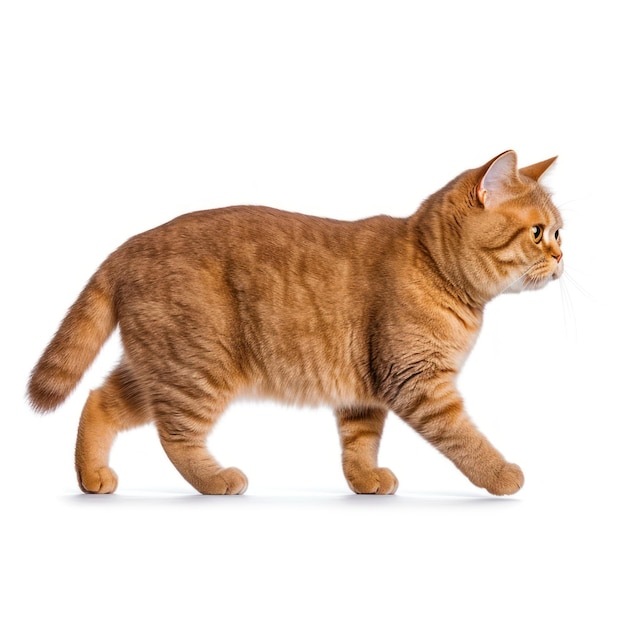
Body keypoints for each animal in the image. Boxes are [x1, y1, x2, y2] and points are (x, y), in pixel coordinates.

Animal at [26, 150, 564, 492]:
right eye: (538, 233)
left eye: (560, 232)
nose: (562, 257)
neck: (432, 264)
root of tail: (127, 244)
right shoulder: (421, 384)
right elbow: (466, 439)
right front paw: (500, 475)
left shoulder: (365, 392)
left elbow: (359, 445)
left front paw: (365, 481)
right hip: (197, 369)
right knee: (174, 436)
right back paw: (216, 479)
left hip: (158, 369)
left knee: (99, 401)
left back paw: (91, 477)